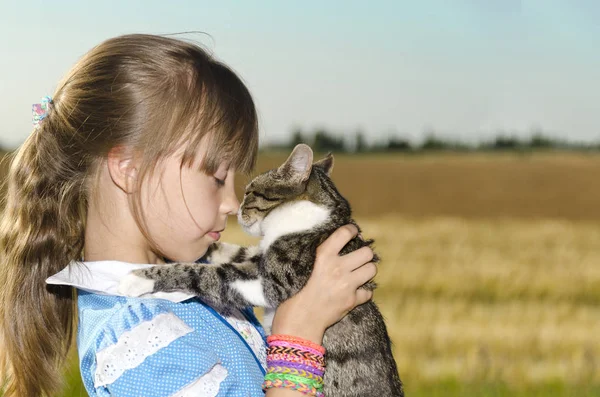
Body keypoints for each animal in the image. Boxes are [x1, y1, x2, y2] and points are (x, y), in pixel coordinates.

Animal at [118, 144, 404, 394]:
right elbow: (231, 250)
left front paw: (139, 278)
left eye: (250, 192)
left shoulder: (272, 282)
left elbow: (201, 272)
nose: (235, 211)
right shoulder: (257, 256)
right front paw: (203, 246)